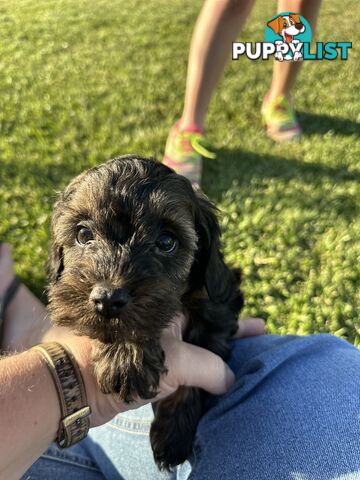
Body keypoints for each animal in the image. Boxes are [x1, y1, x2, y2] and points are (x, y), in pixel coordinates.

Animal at [47, 156, 243, 470]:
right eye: (83, 234)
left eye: (166, 241)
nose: (108, 299)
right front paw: (124, 357)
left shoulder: (218, 309)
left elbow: (191, 383)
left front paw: (172, 437)